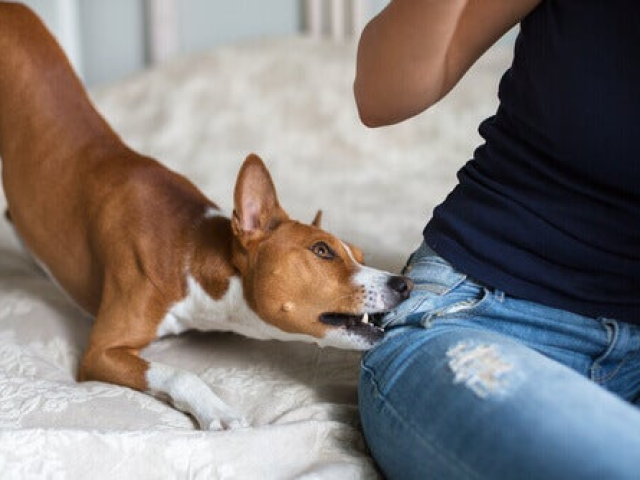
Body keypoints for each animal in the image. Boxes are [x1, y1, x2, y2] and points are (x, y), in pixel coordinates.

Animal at [0, 3, 410, 430]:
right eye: (322, 251)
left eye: (358, 255)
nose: (403, 283)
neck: (186, 250)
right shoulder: (100, 350)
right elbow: (182, 374)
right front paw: (219, 412)